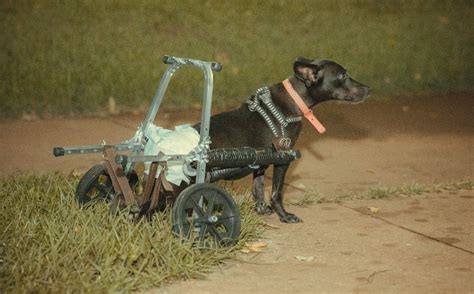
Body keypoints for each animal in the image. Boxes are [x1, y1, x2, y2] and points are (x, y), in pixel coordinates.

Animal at [198, 56, 368, 223]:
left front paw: (261, 209)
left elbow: (258, 187)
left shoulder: (260, 161)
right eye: (342, 75)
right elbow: (277, 192)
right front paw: (284, 215)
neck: (294, 98)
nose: (368, 89)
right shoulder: (283, 158)